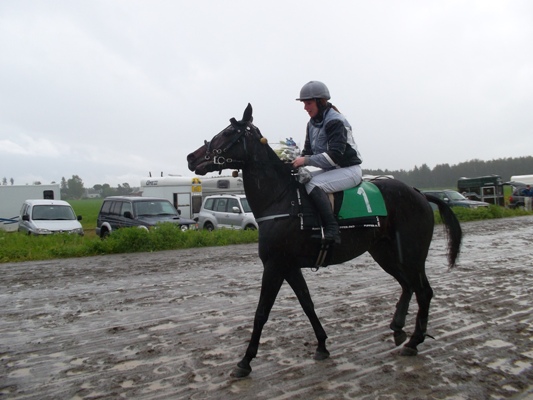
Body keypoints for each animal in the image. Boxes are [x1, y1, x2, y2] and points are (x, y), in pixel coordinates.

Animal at [187, 104, 462, 378]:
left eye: (228, 132)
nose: (191, 157)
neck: (282, 199)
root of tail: (419, 194)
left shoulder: (275, 265)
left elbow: (262, 312)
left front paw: (245, 361)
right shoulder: (289, 266)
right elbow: (307, 303)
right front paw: (321, 345)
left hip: (412, 254)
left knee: (423, 291)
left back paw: (414, 341)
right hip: (385, 253)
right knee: (407, 286)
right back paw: (398, 329)